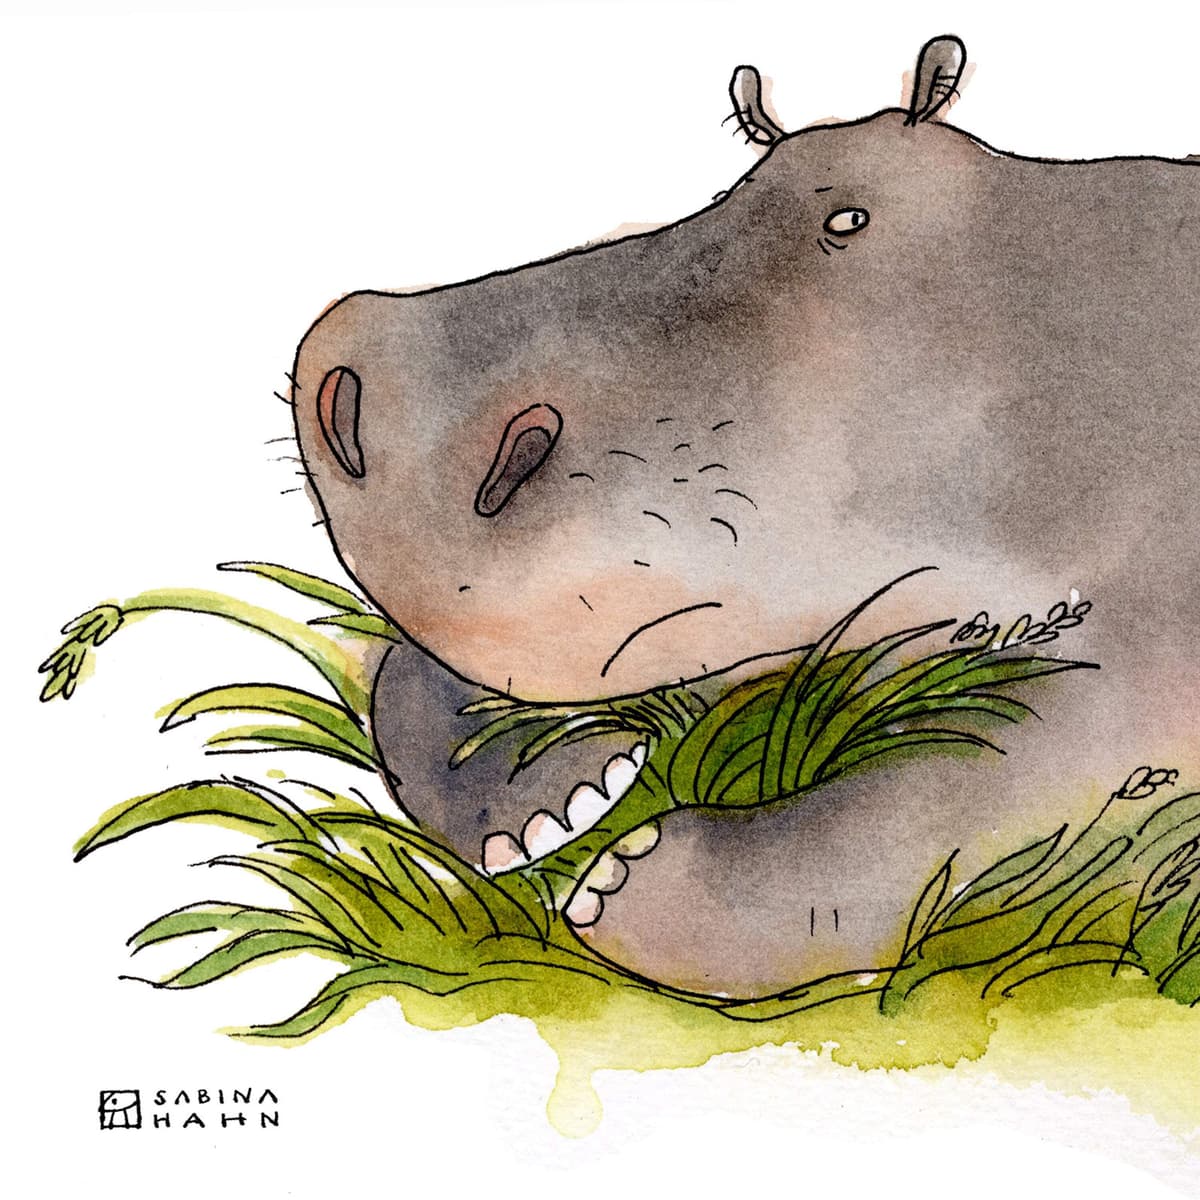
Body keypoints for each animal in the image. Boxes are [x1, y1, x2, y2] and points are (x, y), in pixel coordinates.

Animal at [291, 36, 1200, 996]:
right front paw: (524, 792)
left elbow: (981, 775)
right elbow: (405, 677)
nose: (356, 375)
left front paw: (641, 887)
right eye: (741, 185)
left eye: (850, 219)